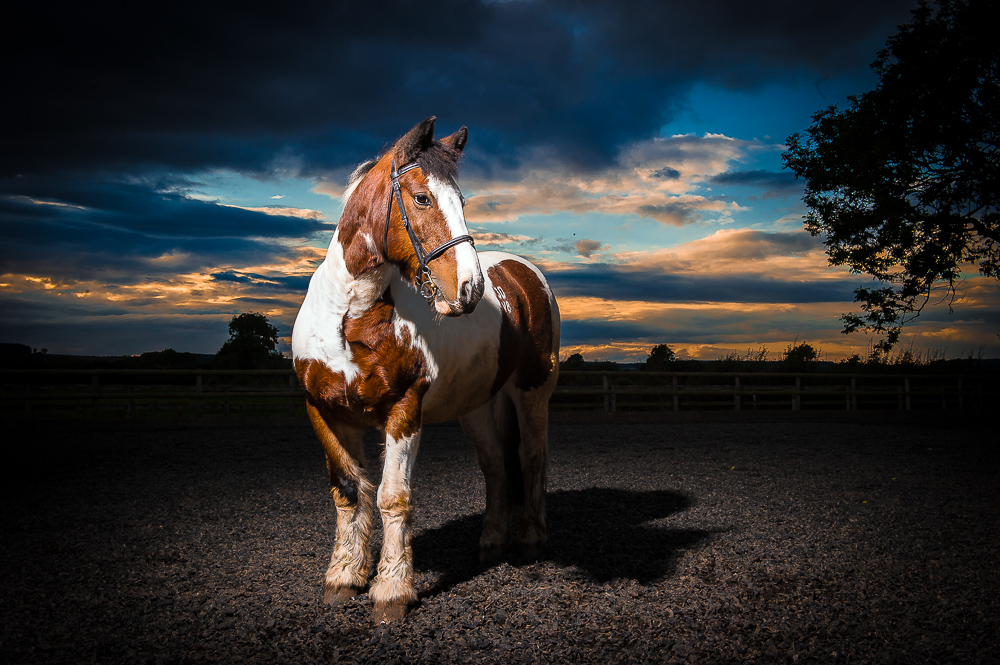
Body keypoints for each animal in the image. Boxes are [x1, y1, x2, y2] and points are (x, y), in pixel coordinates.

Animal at [292, 118, 564, 624]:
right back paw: (491, 543)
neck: (350, 315)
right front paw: (344, 578)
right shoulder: (324, 411)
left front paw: (391, 592)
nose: (471, 288)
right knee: (495, 464)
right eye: (421, 198)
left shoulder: (404, 410)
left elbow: (392, 496)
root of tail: (523, 274)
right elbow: (348, 491)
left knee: (531, 457)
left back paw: (531, 542)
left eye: (463, 202)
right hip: (476, 404)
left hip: (532, 393)